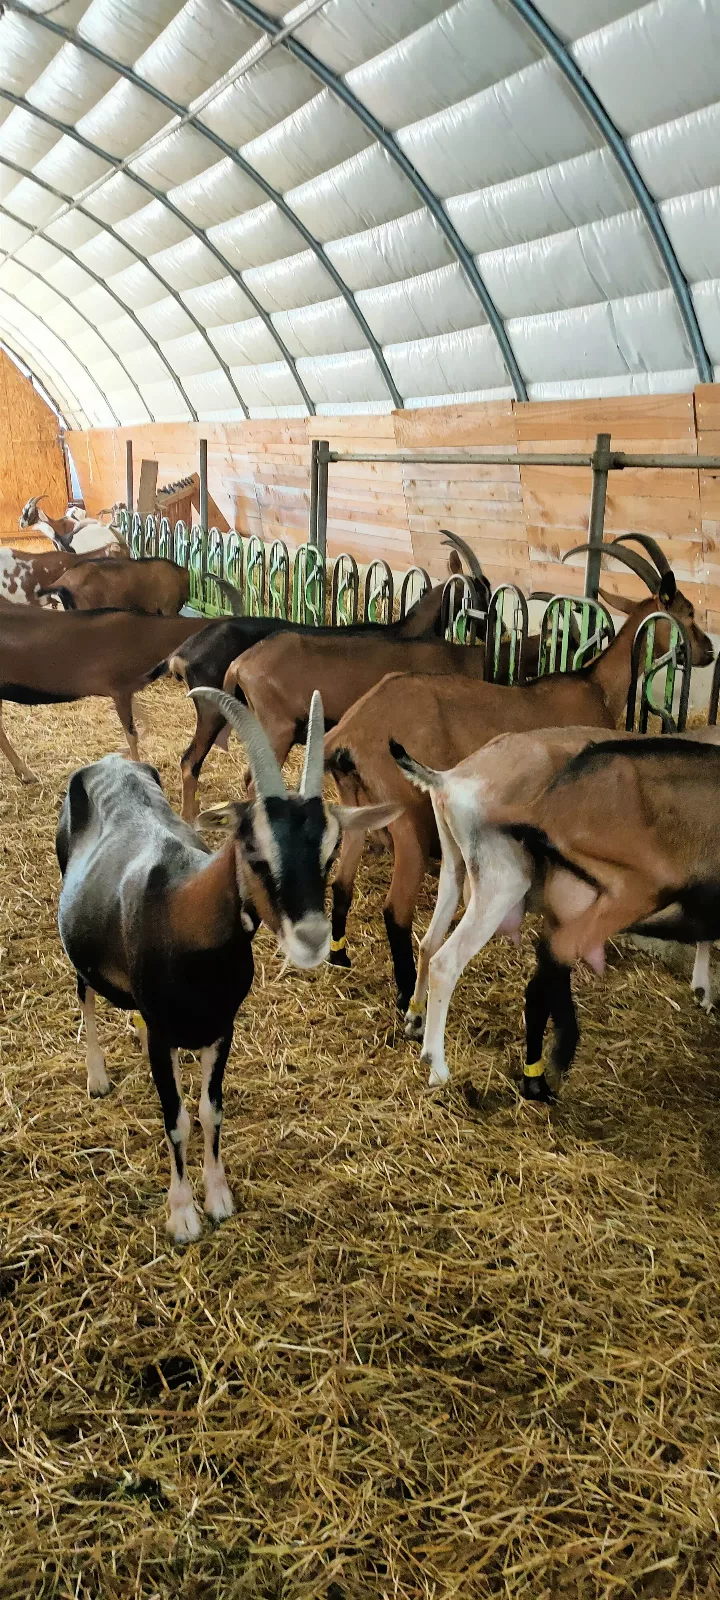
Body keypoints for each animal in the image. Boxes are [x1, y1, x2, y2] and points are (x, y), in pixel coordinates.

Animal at [56, 690, 398, 1241]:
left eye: (329, 853)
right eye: (253, 849)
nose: (312, 940)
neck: (180, 906)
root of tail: (109, 762)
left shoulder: (222, 1027)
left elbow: (209, 1111)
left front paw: (217, 1197)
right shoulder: (164, 1034)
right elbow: (176, 1119)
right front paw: (182, 1215)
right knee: (84, 994)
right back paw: (97, 1078)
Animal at [323, 559, 713, 1011]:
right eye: (687, 611)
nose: (709, 650)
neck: (596, 686)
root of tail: (349, 733)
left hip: (357, 802)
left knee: (342, 882)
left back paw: (340, 956)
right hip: (410, 821)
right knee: (395, 910)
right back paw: (406, 997)